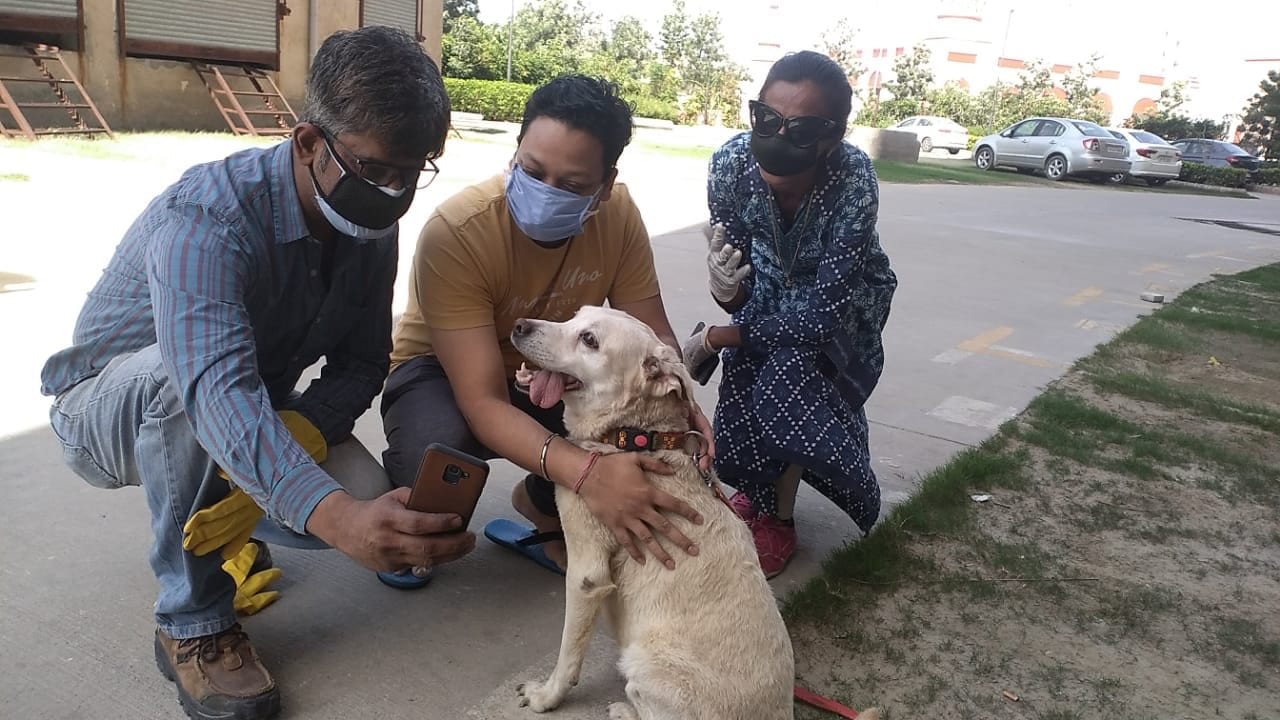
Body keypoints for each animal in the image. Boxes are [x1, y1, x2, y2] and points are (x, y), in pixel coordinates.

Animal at [504, 304, 793, 717]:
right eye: (574, 316)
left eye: (589, 339)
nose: (519, 326)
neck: (636, 437)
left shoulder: (586, 574)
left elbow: (567, 656)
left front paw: (546, 696)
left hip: (643, 661)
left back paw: (622, 709)